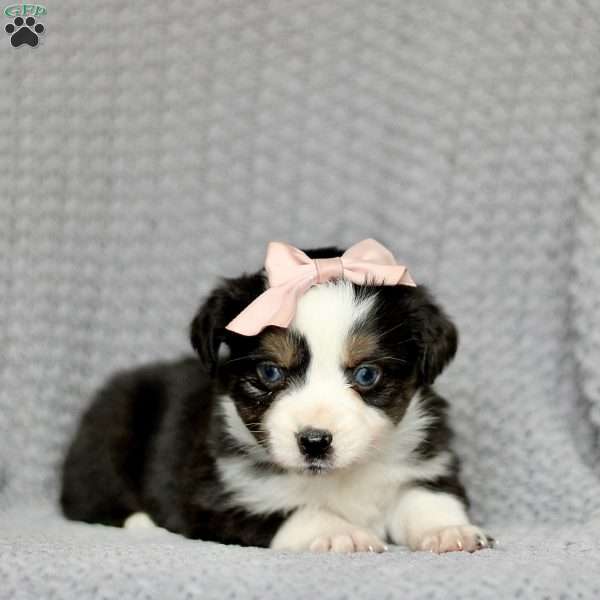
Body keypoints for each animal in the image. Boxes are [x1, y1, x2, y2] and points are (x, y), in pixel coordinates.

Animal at [61, 239, 492, 552]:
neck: (339, 478)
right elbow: (296, 511)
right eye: (270, 372)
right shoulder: (221, 496)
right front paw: (341, 533)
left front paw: (451, 532)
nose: (314, 442)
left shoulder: (427, 463)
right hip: (110, 431)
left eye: (367, 374)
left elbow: (427, 499)